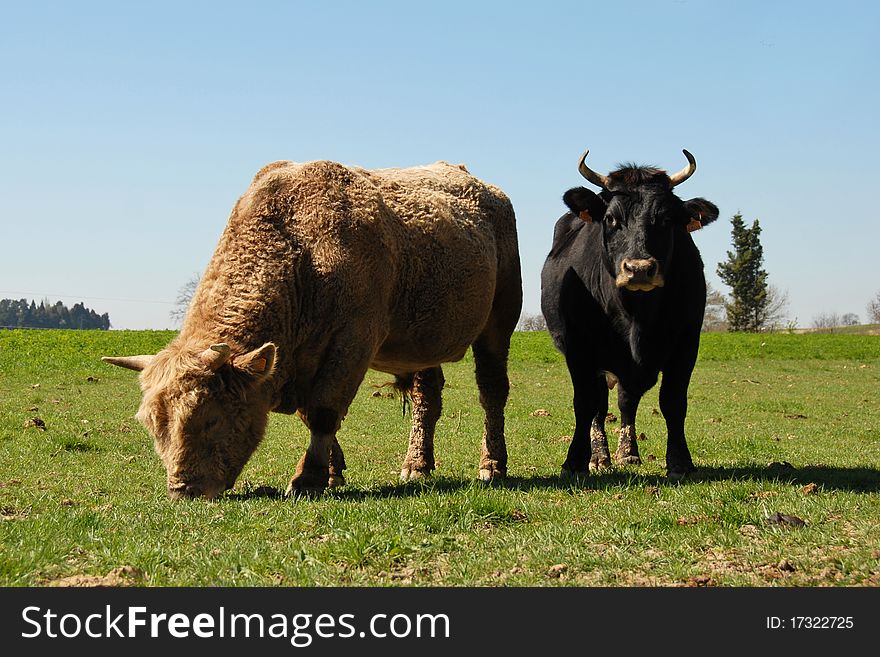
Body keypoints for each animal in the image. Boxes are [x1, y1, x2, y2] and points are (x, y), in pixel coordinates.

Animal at [103, 159, 524, 498]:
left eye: (210, 416)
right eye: (152, 424)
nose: (183, 489)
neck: (302, 249)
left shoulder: (353, 343)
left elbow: (324, 411)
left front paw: (310, 477)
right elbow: (313, 415)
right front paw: (333, 472)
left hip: (499, 322)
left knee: (492, 392)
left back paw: (492, 464)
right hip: (421, 343)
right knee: (427, 399)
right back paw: (417, 464)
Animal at [540, 149, 720, 476]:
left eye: (666, 219)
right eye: (611, 218)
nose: (638, 268)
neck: (637, 316)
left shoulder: (687, 343)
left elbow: (673, 401)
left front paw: (679, 460)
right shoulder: (578, 348)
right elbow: (585, 402)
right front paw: (576, 460)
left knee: (626, 401)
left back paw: (628, 452)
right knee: (600, 404)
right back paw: (600, 455)